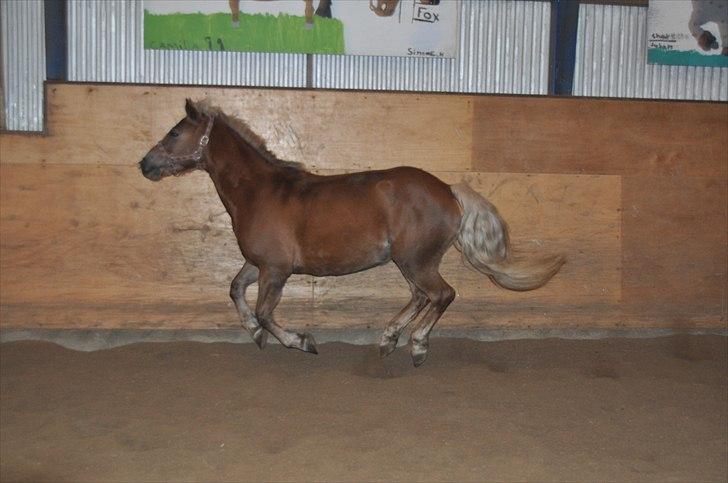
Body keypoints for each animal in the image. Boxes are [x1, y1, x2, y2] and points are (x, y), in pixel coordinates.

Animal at [139, 100, 564, 366]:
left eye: (174, 133)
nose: (145, 164)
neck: (260, 191)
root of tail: (448, 190)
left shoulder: (276, 270)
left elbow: (264, 311)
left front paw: (302, 341)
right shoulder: (258, 264)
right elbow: (235, 290)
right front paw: (256, 335)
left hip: (415, 260)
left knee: (441, 294)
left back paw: (417, 346)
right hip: (410, 261)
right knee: (421, 295)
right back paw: (389, 338)